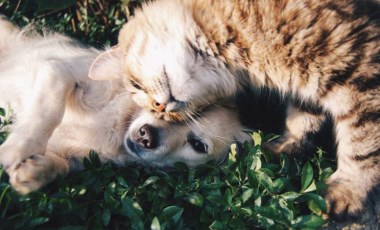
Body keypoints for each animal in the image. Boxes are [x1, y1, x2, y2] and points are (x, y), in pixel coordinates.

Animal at [0, 18, 248, 194]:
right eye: (158, 105)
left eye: (198, 145)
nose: (146, 136)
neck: (118, 126)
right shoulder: (58, 71)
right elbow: (48, 111)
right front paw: (19, 148)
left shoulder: (77, 158)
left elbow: (62, 165)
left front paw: (34, 171)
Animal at [90, 0, 380, 218]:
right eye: (159, 112)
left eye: (137, 85)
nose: (160, 107)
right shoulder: (309, 86)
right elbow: (302, 119)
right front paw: (285, 147)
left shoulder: (359, 71)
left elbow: (361, 146)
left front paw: (347, 191)